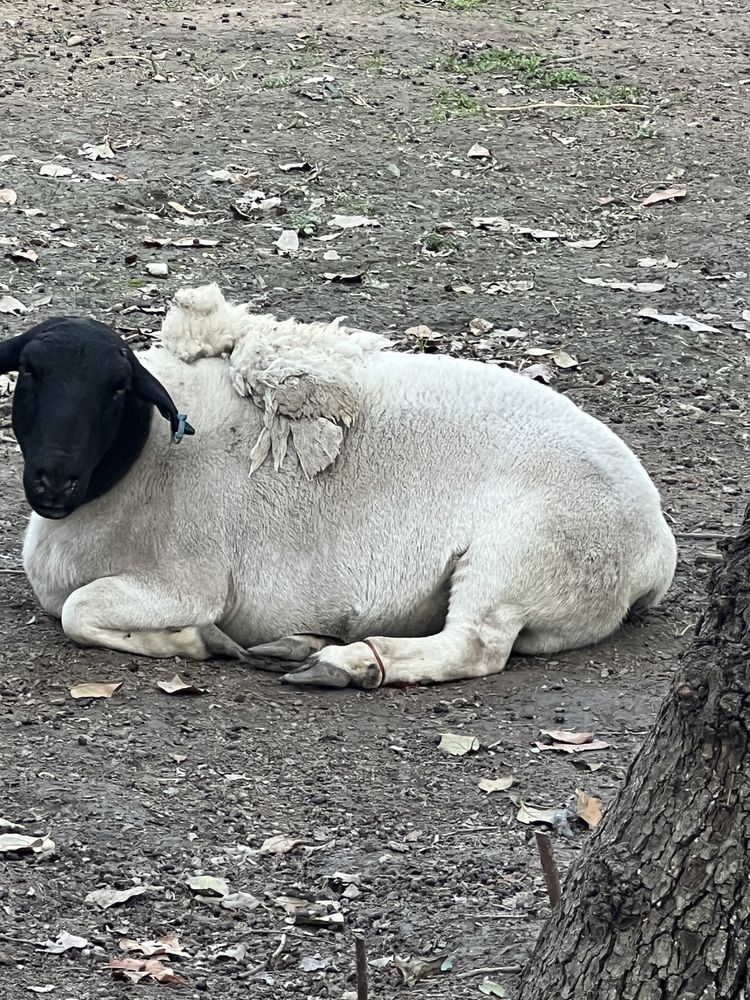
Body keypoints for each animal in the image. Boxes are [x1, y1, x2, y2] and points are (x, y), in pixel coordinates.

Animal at [1, 284, 680, 688]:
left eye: (117, 389)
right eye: (27, 373)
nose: (54, 479)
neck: (136, 468)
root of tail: (658, 545)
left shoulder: (184, 582)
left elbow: (78, 611)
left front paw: (199, 642)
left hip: (521, 556)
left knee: (476, 646)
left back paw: (342, 663)